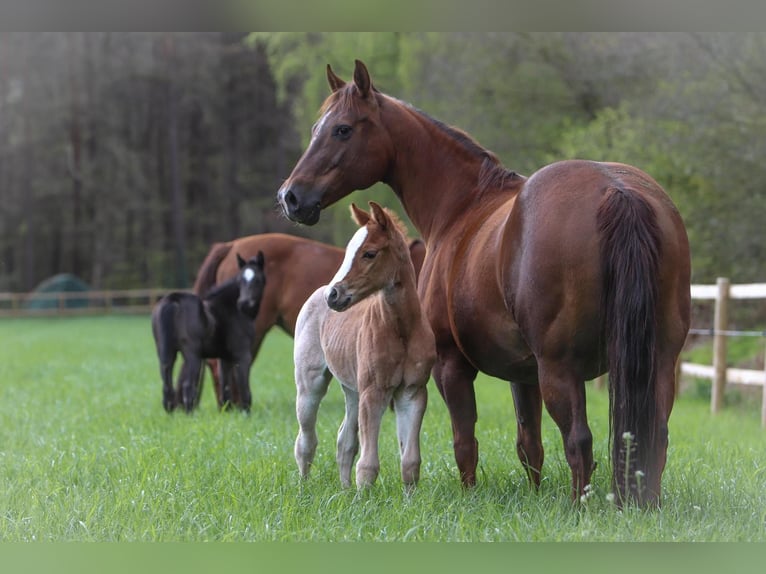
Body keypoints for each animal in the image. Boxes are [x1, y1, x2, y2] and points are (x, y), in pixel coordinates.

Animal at [151, 252, 266, 413]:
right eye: (240, 280)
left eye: (257, 279)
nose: (244, 303)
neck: (232, 309)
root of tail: (173, 300)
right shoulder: (243, 355)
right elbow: (245, 390)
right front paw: (246, 414)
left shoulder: (225, 358)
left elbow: (226, 388)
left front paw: (227, 413)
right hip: (193, 355)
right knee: (188, 386)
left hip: (165, 353)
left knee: (167, 387)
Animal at [293, 202, 436, 488]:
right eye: (348, 251)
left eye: (369, 253)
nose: (333, 295)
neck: (402, 329)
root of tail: (316, 292)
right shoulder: (374, 391)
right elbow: (368, 464)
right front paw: (363, 498)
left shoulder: (412, 392)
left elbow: (410, 462)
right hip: (310, 384)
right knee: (306, 441)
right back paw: (303, 488)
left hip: (352, 390)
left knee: (344, 440)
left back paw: (345, 490)